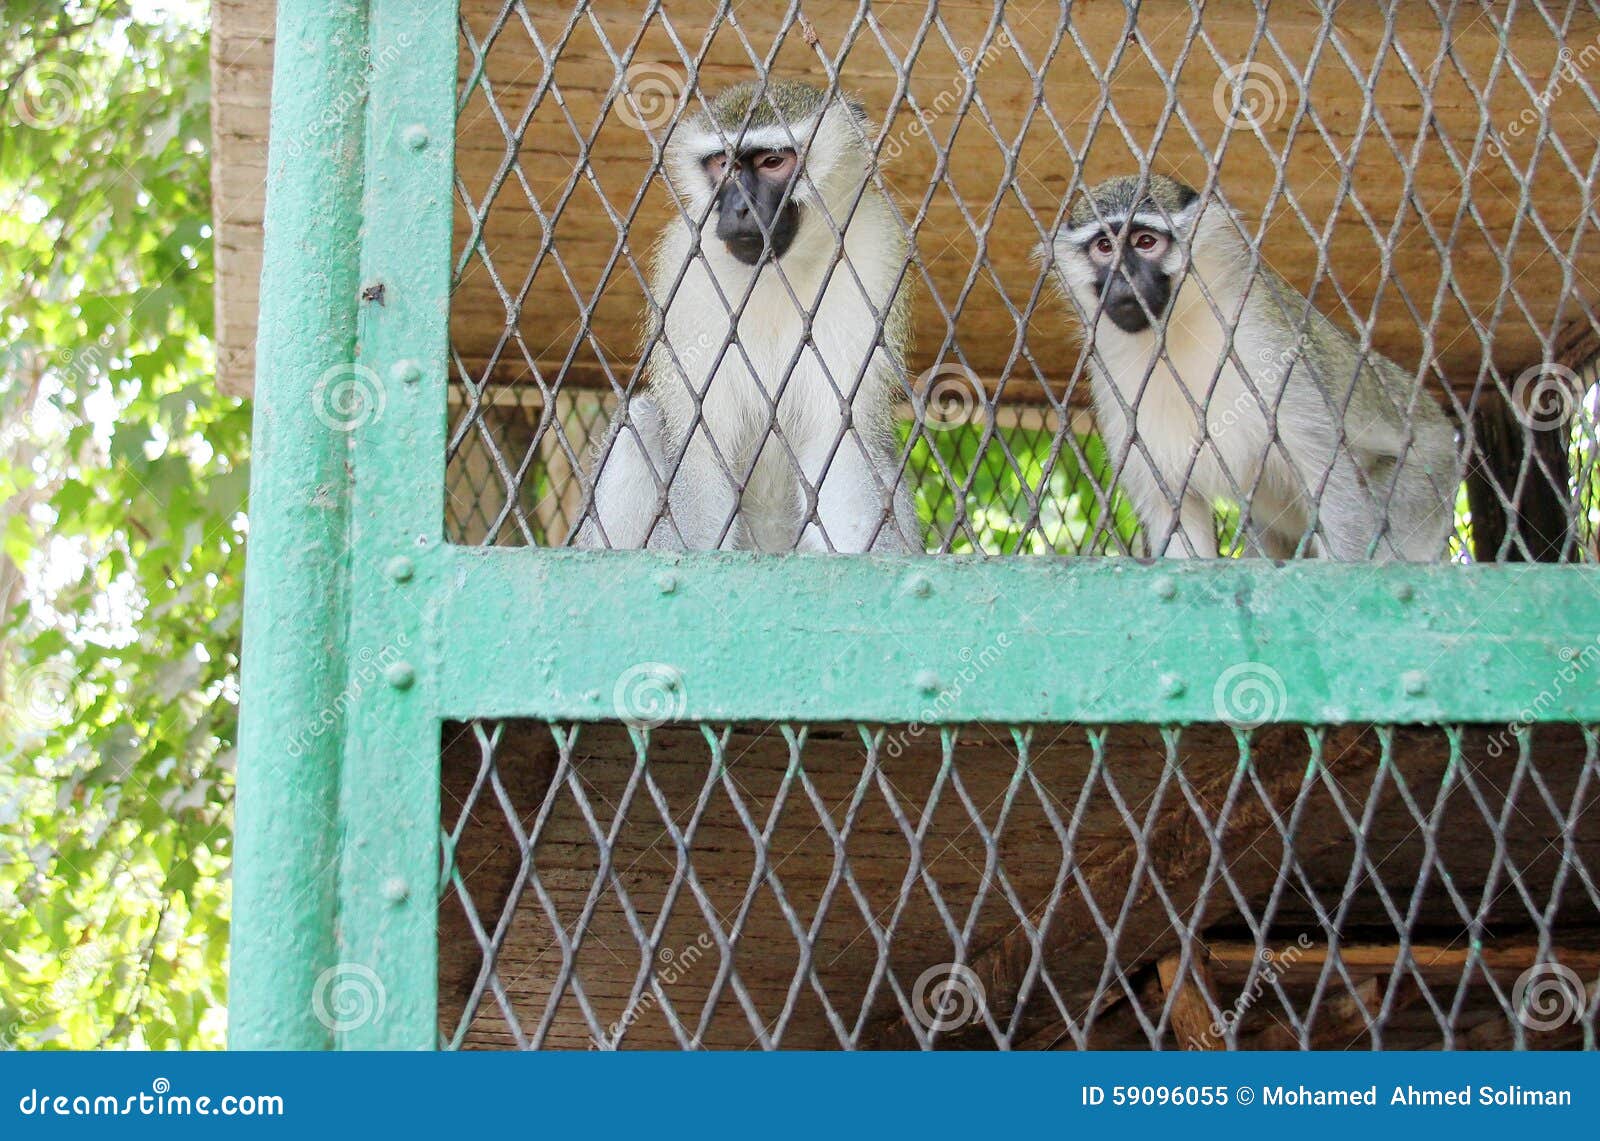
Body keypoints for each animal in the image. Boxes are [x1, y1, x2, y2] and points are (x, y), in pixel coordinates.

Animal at [577, 79, 920, 553]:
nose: (739, 208)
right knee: (640, 421)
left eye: (773, 161)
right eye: (722, 165)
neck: (776, 272)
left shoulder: (870, 250)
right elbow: (699, 453)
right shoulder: (686, 270)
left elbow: (843, 445)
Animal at [1041, 174, 1458, 561]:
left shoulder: (1269, 348)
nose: (1121, 277)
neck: (1177, 330)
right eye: (1104, 247)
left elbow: (1332, 485)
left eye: (1145, 241)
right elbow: (1175, 511)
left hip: (1427, 481)